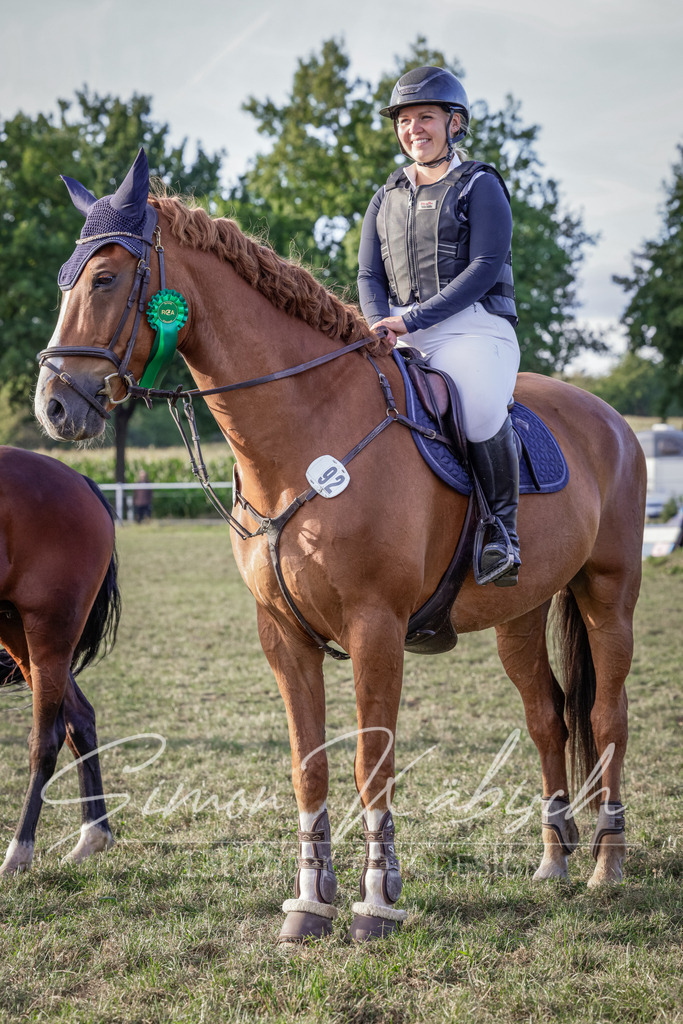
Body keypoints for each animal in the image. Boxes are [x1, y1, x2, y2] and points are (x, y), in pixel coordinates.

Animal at [0, 447, 120, 876]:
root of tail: (76, 478)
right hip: (16, 628)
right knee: (79, 718)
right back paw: (92, 837)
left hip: (49, 632)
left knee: (46, 740)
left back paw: (18, 853)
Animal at [34, 150, 645, 941]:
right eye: (65, 279)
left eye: (106, 278)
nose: (53, 406)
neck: (305, 431)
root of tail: (609, 417)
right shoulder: (282, 634)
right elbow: (309, 765)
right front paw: (309, 900)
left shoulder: (375, 627)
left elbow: (369, 761)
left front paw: (377, 899)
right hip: (519, 612)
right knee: (546, 717)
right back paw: (553, 859)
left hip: (608, 595)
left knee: (606, 716)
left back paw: (607, 862)